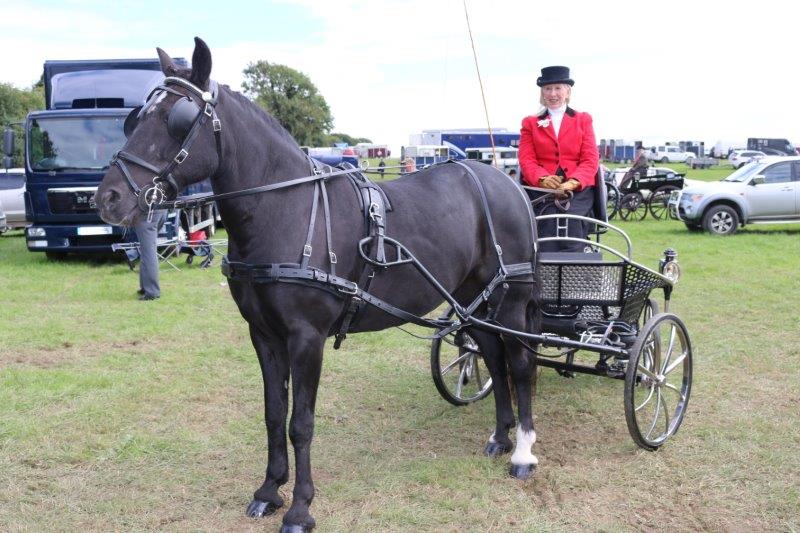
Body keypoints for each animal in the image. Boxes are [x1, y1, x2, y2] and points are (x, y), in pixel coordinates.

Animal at [96, 37, 542, 532]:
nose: (108, 198)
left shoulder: (305, 337)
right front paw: (269, 491)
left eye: (178, 119)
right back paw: (500, 436)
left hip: (510, 299)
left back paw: (523, 452)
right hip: (473, 298)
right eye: (136, 117)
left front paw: (300, 508)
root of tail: (504, 181)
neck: (283, 207)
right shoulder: (264, 335)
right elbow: (273, 414)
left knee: (520, 363)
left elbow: (300, 423)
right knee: (491, 355)